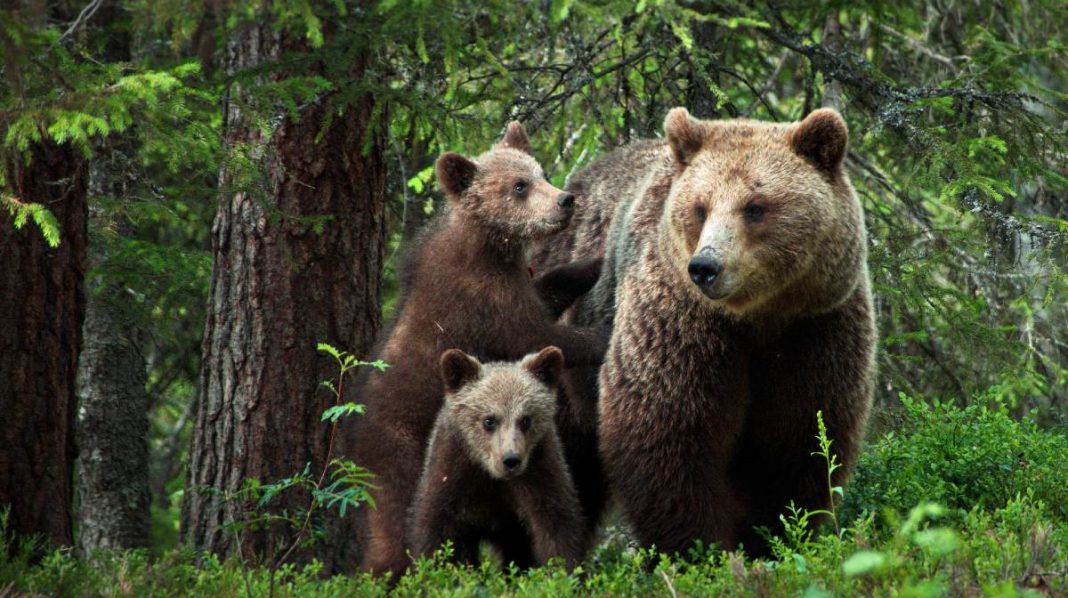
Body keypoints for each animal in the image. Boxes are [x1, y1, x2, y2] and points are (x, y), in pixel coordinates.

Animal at [407, 346, 587, 569]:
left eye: (525, 419)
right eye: (489, 420)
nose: (511, 459)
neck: (491, 475)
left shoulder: (539, 472)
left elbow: (557, 527)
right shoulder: (452, 473)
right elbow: (434, 533)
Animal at [533, 107, 877, 557]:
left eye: (755, 206)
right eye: (700, 207)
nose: (705, 266)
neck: (757, 318)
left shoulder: (816, 329)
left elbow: (800, 440)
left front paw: (771, 536)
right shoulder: (682, 322)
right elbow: (667, 432)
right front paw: (699, 548)